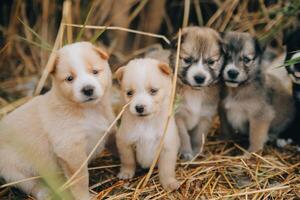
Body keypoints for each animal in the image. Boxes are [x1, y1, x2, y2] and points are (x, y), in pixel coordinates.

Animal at [0, 41, 115, 199]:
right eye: (69, 78)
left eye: (95, 72)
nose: (88, 89)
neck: (89, 110)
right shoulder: (70, 149)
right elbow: (81, 179)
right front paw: (84, 196)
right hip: (15, 170)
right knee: (31, 185)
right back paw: (46, 193)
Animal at [115, 58, 180, 192]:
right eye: (129, 93)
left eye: (153, 91)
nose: (139, 107)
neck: (146, 123)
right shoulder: (125, 142)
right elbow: (128, 160)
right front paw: (126, 173)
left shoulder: (168, 146)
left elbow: (167, 169)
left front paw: (169, 182)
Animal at [170, 27, 224, 161]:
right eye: (187, 60)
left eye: (211, 62)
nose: (199, 78)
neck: (195, 92)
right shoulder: (178, 117)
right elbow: (183, 136)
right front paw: (186, 153)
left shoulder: (205, 117)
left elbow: (198, 137)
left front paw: (196, 152)